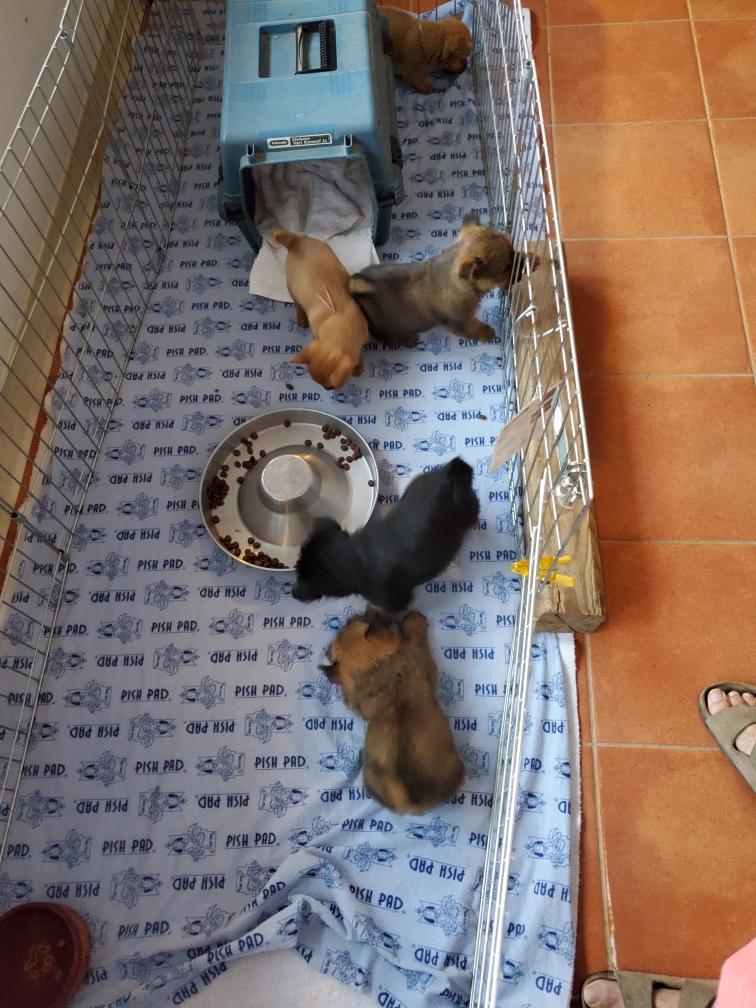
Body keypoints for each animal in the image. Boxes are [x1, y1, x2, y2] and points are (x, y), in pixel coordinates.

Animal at [273, 229, 369, 390]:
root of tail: (296, 241)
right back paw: (301, 317)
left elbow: (359, 353)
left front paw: (359, 364)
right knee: (297, 303)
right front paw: (358, 364)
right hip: (293, 287)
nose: (326, 389)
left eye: (330, 387)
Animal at [291, 456, 479, 611]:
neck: (351, 554)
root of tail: (449, 475)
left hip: (468, 510)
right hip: (417, 483)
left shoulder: (394, 602)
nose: (293, 593)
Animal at [321, 608, 464, 813]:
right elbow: (415, 640)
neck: (377, 672)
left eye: (349, 624)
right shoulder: (422, 661)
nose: (368, 610)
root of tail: (410, 802)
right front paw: (414, 622)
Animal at [350, 214, 537, 348]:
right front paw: (487, 332)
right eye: (505, 268)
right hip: (383, 325)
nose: (525, 265)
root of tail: (359, 284)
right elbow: (474, 327)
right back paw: (407, 340)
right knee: (383, 336)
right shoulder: (461, 322)